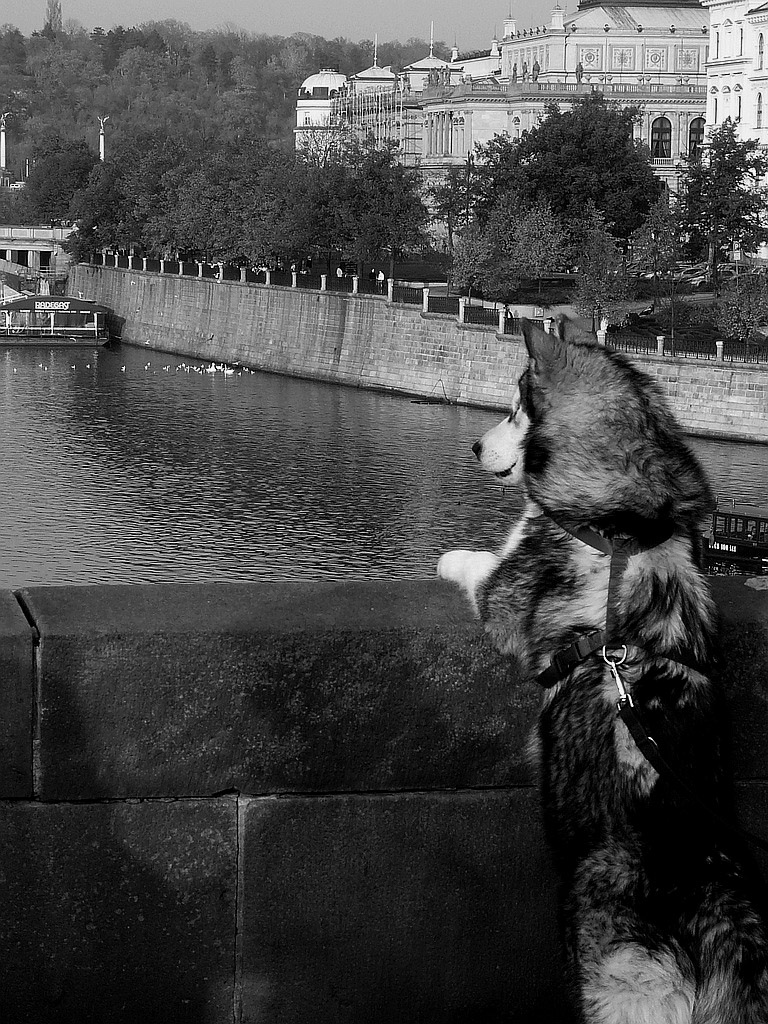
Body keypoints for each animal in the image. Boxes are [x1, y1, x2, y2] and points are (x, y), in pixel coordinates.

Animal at [438, 319, 768, 1024]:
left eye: (514, 408)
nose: (474, 445)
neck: (625, 525)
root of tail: (709, 918)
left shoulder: (505, 592)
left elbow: (480, 563)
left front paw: (448, 556)